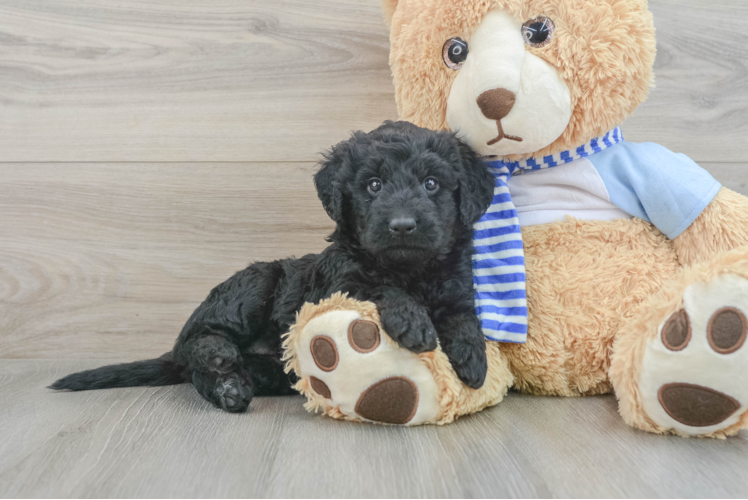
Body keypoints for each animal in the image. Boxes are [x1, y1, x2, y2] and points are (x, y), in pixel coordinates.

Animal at [52, 120, 496, 410]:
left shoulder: (455, 285)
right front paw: (415, 321)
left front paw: (473, 359)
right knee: (195, 341)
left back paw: (230, 386)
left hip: (274, 365)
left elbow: (462, 314)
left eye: (431, 184)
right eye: (373, 185)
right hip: (254, 284)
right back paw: (219, 360)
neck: (409, 269)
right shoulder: (339, 282)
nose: (403, 225)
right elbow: (380, 287)